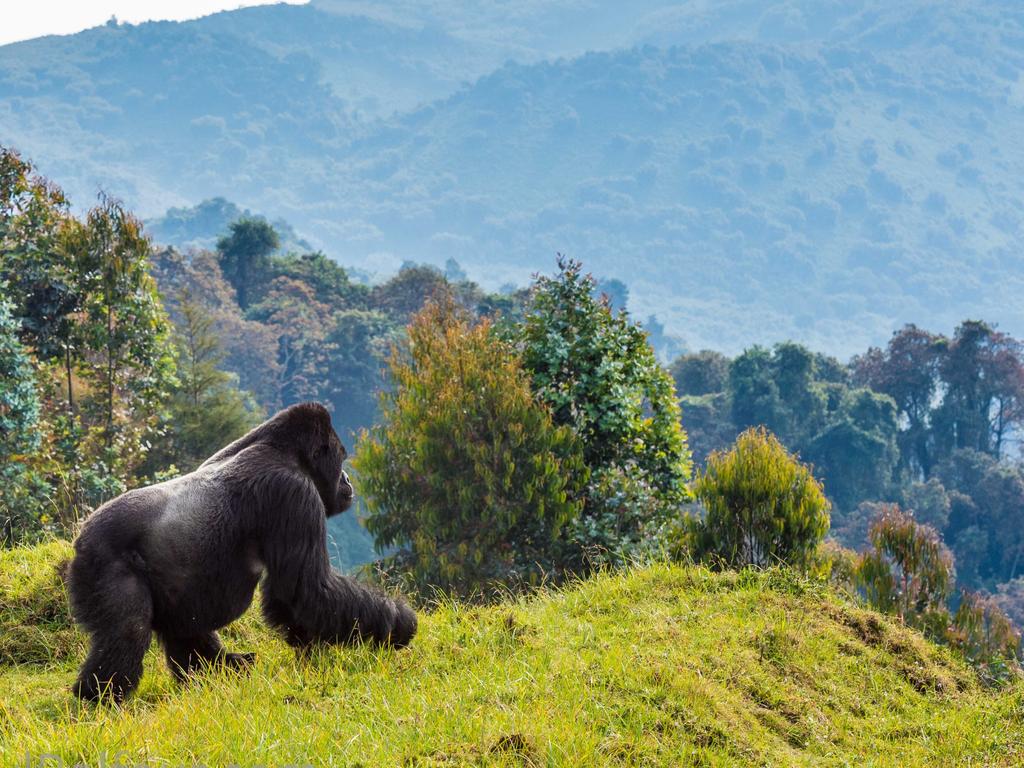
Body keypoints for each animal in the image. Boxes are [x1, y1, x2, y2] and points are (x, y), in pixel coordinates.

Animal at [67, 403, 415, 704]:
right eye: (341, 459)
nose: (347, 480)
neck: (283, 449)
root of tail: (81, 539)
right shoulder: (293, 493)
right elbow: (305, 593)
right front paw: (399, 622)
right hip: (103, 561)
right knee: (128, 633)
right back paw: (99, 697)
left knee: (181, 626)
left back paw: (216, 669)